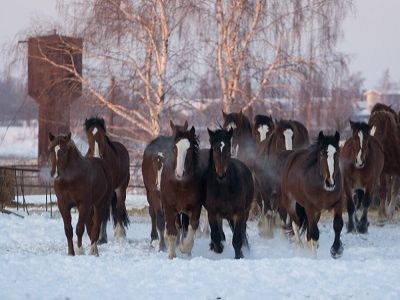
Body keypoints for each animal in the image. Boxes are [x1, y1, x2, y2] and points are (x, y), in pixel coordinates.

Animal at [160, 125, 209, 258]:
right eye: (175, 148)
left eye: (189, 149)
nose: (179, 173)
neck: (181, 184)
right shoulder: (169, 206)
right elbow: (172, 230)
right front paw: (172, 255)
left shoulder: (196, 206)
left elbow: (193, 227)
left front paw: (184, 248)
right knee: (176, 226)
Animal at [203, 127, 253, 258]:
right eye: (214, 150)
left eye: (228, 150)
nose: (221, 176)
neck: (224, 188)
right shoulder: (212, 212)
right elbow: (216, 237)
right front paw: (218, 248)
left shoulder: (239, 213)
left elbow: (237, 239)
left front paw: (239, 255)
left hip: (246, 211)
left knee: (242, 231)